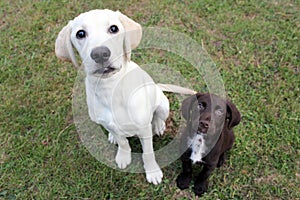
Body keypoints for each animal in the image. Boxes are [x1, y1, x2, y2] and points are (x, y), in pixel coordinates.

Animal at [54, 9, 193, 184]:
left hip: (162, 105)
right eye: (80, 33)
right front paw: (123, 156)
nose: (100, 54)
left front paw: (153, 171)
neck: (110, 88)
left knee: (158, 116)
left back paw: (158, 125)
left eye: (114, 29)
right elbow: (123, 142)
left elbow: (148, 153)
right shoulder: (108, 123)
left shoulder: (144, 129)